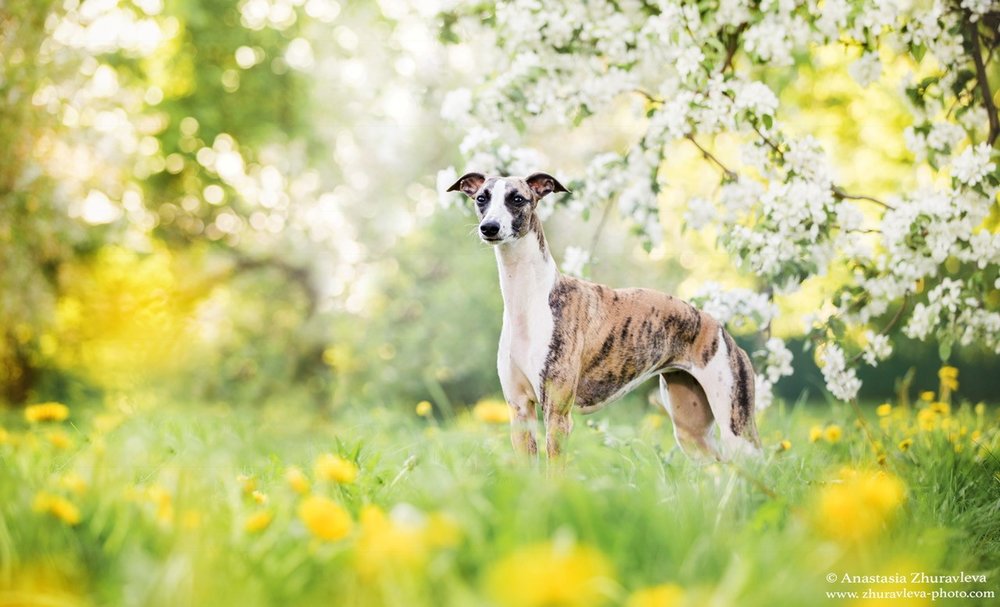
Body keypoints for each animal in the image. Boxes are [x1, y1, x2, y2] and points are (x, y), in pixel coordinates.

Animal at [450, 171, 760, 460]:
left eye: (517, 199)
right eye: (482, 198)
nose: (489, 227)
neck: (528, 301)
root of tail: (717, 326)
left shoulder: (557, 415)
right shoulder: (519, 411)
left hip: (736, 424)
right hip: (691, 429)